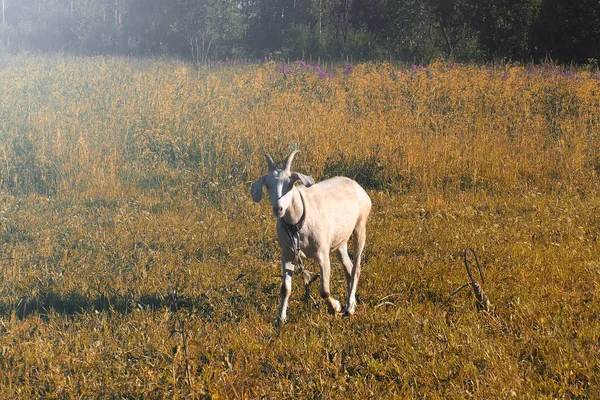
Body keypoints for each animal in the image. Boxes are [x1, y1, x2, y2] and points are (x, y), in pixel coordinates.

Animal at [250, 150, 370, 322]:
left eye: (290, 183)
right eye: (268, 185)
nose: (278, 209)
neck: (298, 225)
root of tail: (356, 186)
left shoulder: (322, 254)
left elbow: (324, 290)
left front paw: (335, 307)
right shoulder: (288, 254)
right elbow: (285, 288)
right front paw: (280, 318)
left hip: (360, 226)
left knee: (356, 267)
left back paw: (350, 308)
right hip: (340, 241)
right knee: (348, 267)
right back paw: (349, 303)